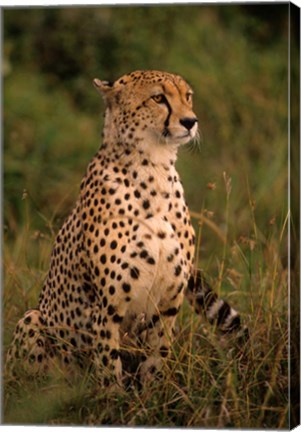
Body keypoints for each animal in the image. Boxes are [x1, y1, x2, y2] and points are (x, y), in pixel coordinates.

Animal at [5, 69, 244, 386]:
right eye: (159, 98)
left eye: (187, 96)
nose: (190, 121)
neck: (154, 169)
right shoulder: (107, 306)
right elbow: (108, 364)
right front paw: (113, 395)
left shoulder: (168, 303)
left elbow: (157, 357)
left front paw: (153, 393)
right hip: (33, 319)